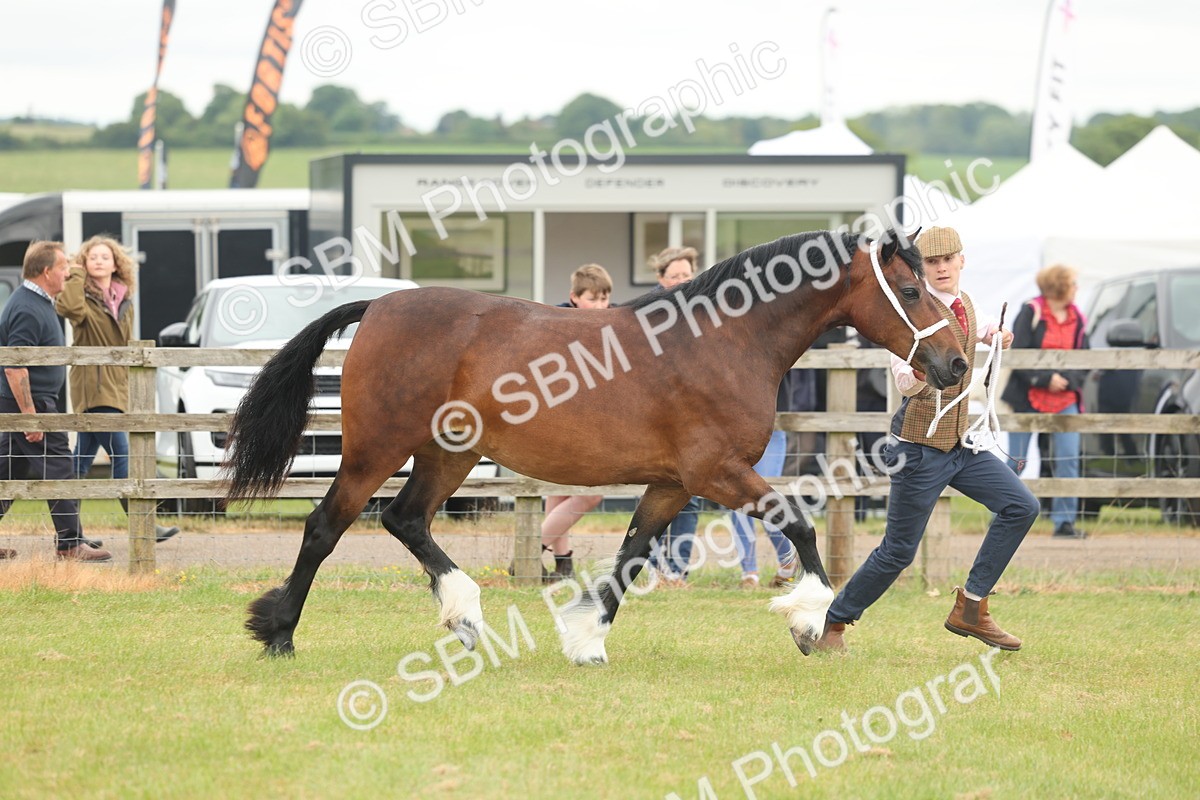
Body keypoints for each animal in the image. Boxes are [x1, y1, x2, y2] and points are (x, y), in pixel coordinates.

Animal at [224, 228, 968, 664]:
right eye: (909, 289)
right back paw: (279, 632)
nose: (956, 363)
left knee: (406, 519)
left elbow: (633, 553)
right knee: (327, 526)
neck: (723, 341)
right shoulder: (719, 472)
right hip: (375, 450)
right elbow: (800, 524)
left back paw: (464, 616)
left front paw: (585, 639)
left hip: (450, 453)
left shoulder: (672, 483)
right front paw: (809, 623)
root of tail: (377, 306)